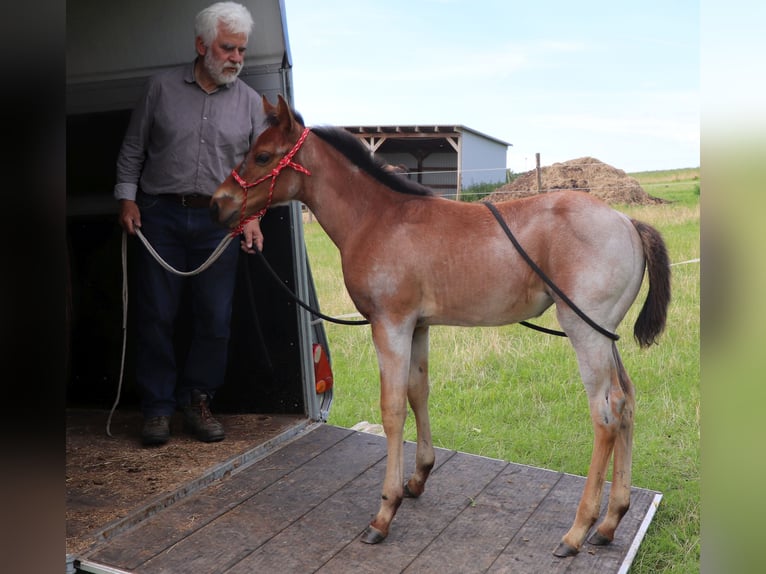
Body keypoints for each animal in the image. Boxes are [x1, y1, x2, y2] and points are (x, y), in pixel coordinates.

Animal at [210, 95, 671, 557]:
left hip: (584, 331)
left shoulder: (390, 324)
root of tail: (628, 222)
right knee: (628, 400)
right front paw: (417, 478)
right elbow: (418, 392)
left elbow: (392, 409)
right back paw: (610, 521)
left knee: (606, 412)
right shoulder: (417, 326)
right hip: (604, 334)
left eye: (262, 156)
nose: (217, 202)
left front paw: (385, 511)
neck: (378, 218)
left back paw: (577, 530)